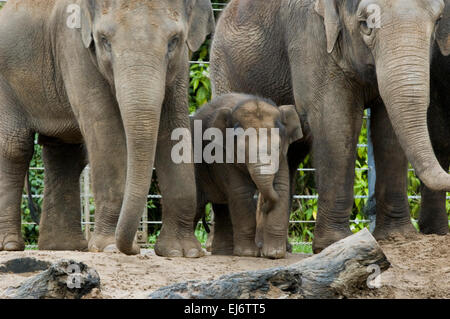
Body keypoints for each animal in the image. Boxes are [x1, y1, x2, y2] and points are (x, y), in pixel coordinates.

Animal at [0, 0, 214, 256]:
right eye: (104, 40)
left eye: (174, 40)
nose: (133, 249)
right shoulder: (73, 47)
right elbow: (105, 128)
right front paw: (109, 246)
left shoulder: (181, 61)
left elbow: (174, 126)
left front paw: (183, 252)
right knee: (15, 148)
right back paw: (11, 246)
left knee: (63, 152)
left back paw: (65, 247)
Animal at [192, 94, 302, 258]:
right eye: (242, 150)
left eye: (278, 147)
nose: (263, 206)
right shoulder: (223, 155)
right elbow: (241, 192)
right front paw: (249, 254)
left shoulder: (283, 158)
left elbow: (281, 189)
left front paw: (274, 254)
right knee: (198, 205)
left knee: (222, 208)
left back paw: (225, 253)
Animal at [210, 0, 450, 255]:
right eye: (366, 24)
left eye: (438, 20)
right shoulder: (311, 36)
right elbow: (336, 121)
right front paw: (335, 242)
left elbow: (387, 129)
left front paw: (398, 238)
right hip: (225, 72)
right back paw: (232, 250)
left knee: (291, 154)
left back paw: (279, 248)